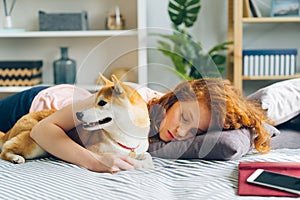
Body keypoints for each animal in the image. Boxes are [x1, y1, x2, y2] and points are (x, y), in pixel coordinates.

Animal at [0, 74, 154, 169]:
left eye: (102, 103)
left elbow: (147, 157)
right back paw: (15, 157)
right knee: (4, 150)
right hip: (34, 144)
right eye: (93, 100)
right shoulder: (92, 150)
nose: (78, 114)